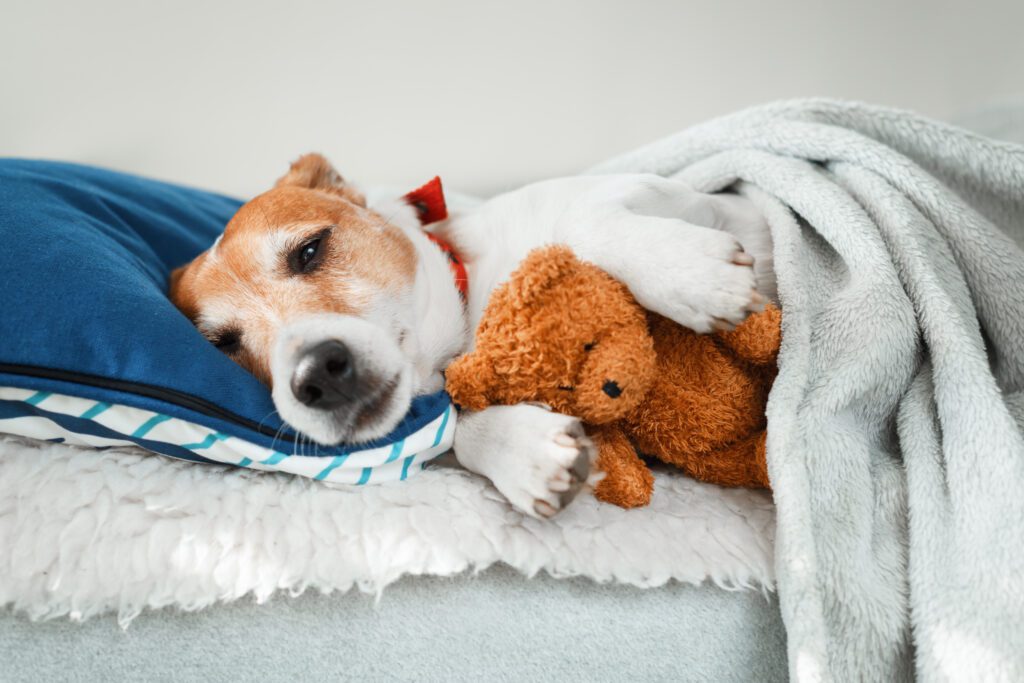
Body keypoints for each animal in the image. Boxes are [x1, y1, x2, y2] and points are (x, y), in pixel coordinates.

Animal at [169, 153, 774, 518]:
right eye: (222, 343)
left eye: (311, 249)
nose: (315, 374)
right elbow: (457, 426)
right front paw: (526, 454)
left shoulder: (687, 197)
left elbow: (582, 222)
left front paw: (695, 276)